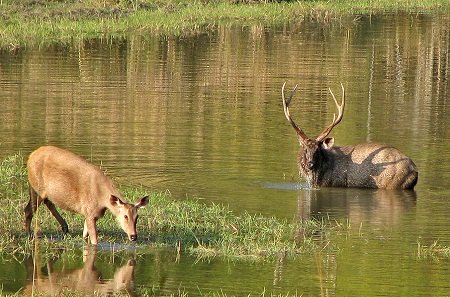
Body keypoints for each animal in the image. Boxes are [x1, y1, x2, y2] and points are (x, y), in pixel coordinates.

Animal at [282, 82, 418, 190]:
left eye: (317, 150)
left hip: (392, 183)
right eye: (305, 149)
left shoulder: (333, 183)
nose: (310, 164)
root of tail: (414, 171)